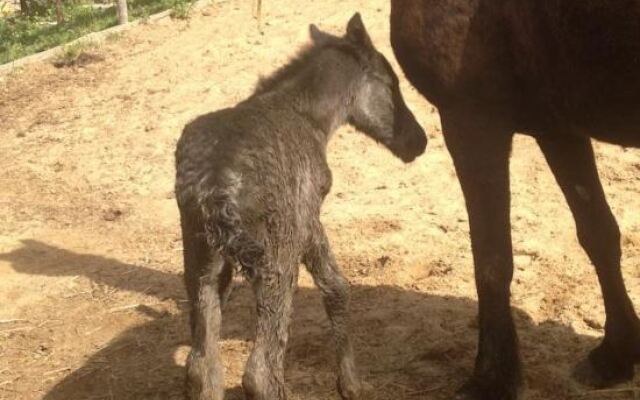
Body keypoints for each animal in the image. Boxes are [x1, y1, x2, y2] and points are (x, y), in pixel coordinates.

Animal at [172, 12, 428, 400]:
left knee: (202, 366)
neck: (310, 116)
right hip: (276, 258)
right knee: (260, 371)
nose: (419, 141)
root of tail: (212, 190)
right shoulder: (308, 217)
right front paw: (351, 384)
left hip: (201, 261)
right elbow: (336, 288)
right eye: (391, 83)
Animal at [390, 0, 640, 400]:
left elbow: (491, 261)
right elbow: (599, 236)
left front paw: (491, 379)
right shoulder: (558, 126)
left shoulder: (472, 119)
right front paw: (616, 354)